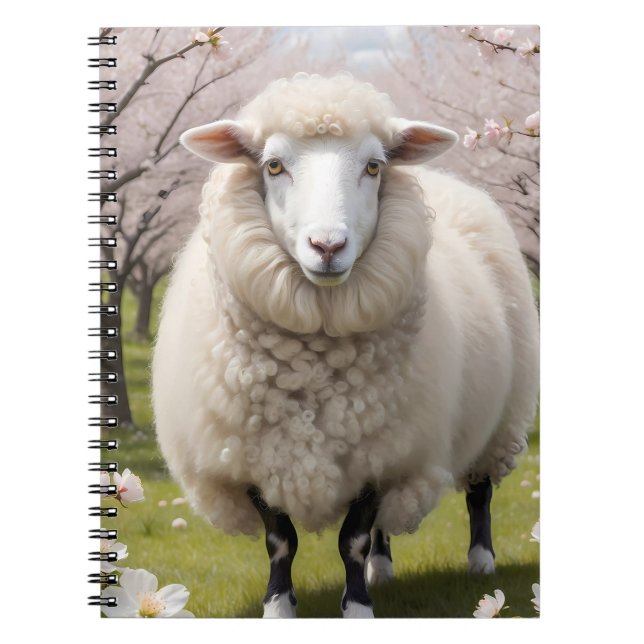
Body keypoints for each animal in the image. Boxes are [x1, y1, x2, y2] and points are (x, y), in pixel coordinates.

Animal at [152, 72, 540, 619]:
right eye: (273, 165)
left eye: (373, 166)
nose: (328, 246)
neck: (315, 362)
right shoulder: (254, 452)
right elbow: (281, 540)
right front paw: (279, 606)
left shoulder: (384, 449)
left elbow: (350, 538)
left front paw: (357, 608)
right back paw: (383, 568)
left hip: (499, 416)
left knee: (479, 493)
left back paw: (481, 563)